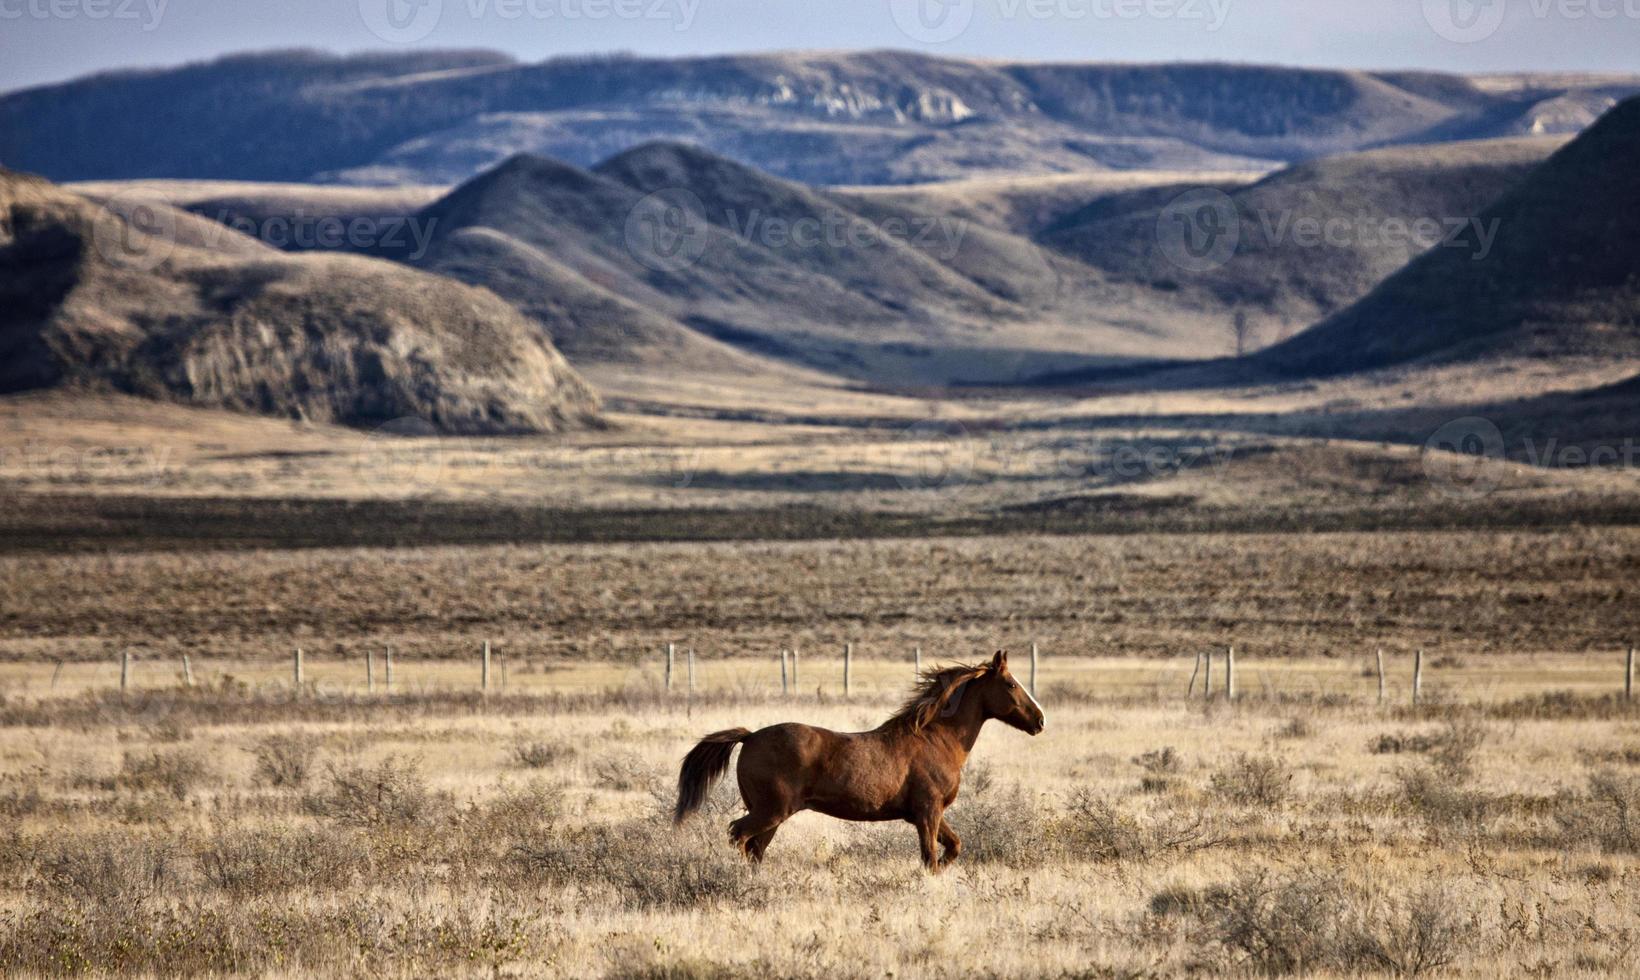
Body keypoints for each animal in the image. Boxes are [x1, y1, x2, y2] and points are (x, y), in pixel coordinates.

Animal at [672, 655, 1043, 871]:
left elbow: (953, 847)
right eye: (1011, 683)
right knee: (738, 836)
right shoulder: (928, 812)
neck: (936, 739)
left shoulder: (927, 814)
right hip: (771, 811)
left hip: (770, 816)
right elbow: (930, 859)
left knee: (754, 849)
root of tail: (749, 737)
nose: (1040, 721)